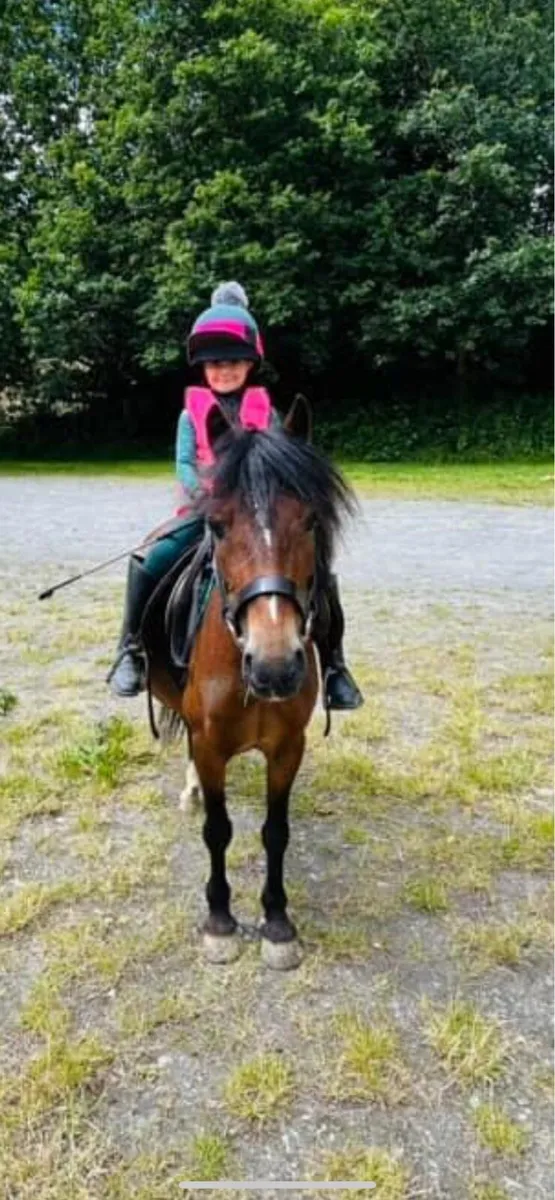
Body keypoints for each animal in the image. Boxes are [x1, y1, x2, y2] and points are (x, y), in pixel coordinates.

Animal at [145, 397, 356, 969]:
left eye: (310, 521)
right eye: (217, 526)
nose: (275, 666)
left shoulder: (288, 748)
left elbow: (275, 832)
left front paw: (278, 923)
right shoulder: (210, 743)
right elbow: (218, 830)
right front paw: (219, 922)